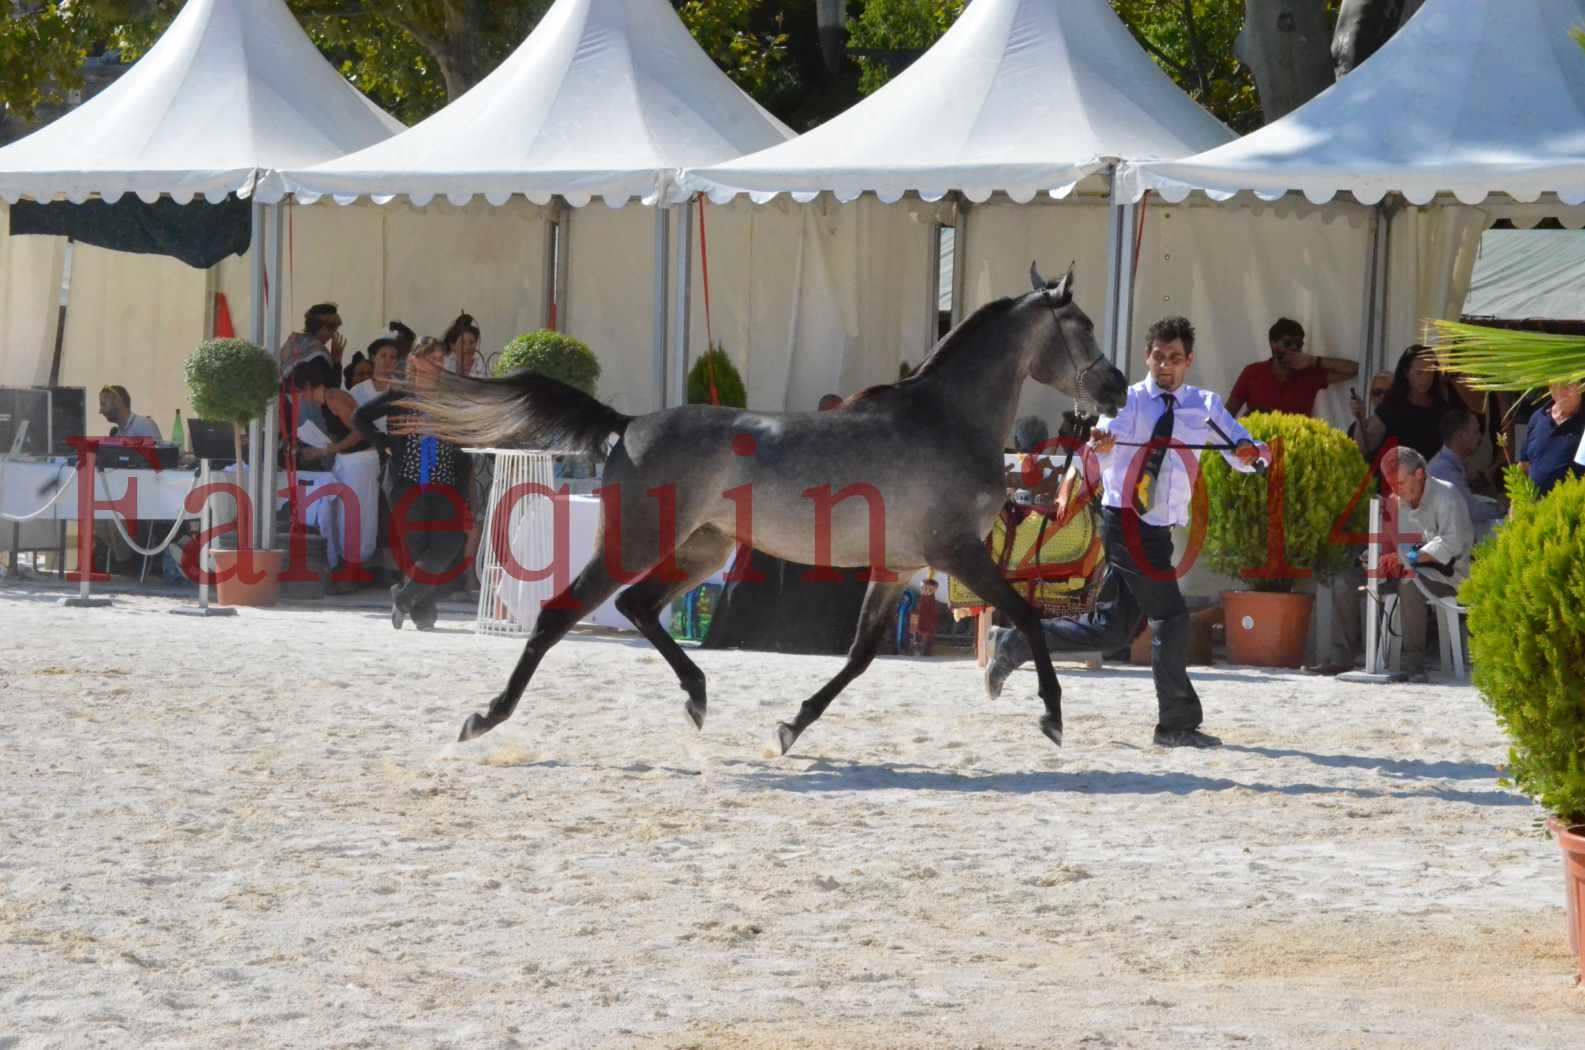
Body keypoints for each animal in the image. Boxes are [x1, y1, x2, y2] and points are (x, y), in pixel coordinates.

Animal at [408, 263, 1128, 758]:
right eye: (1084, 326)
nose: (1117, 386)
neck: (945, 419)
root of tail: (628, 424)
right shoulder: (958, 553)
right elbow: (1026, 617)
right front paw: (1051, 715)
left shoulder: (897, 569)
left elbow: (860, 656)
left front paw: (789, 727)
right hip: (636, 542)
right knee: (560, 613)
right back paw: (485, 717)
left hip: (706, 548)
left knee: (639, 606)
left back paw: (697, 698)